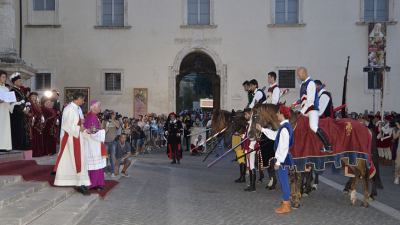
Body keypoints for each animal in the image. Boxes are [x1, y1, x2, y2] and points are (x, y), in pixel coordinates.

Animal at [248, 103, 376, 207]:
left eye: (255, 116)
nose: (250, 135)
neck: (291, 126)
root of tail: (365, 128)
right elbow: (293, 178)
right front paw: (294, 197)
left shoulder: (299, 160)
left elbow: (297, 178)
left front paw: (296, 200)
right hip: (349, 157)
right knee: (357, 174)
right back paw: (353, 197)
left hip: (358, 157)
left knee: (364, 175)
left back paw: (365, 201)